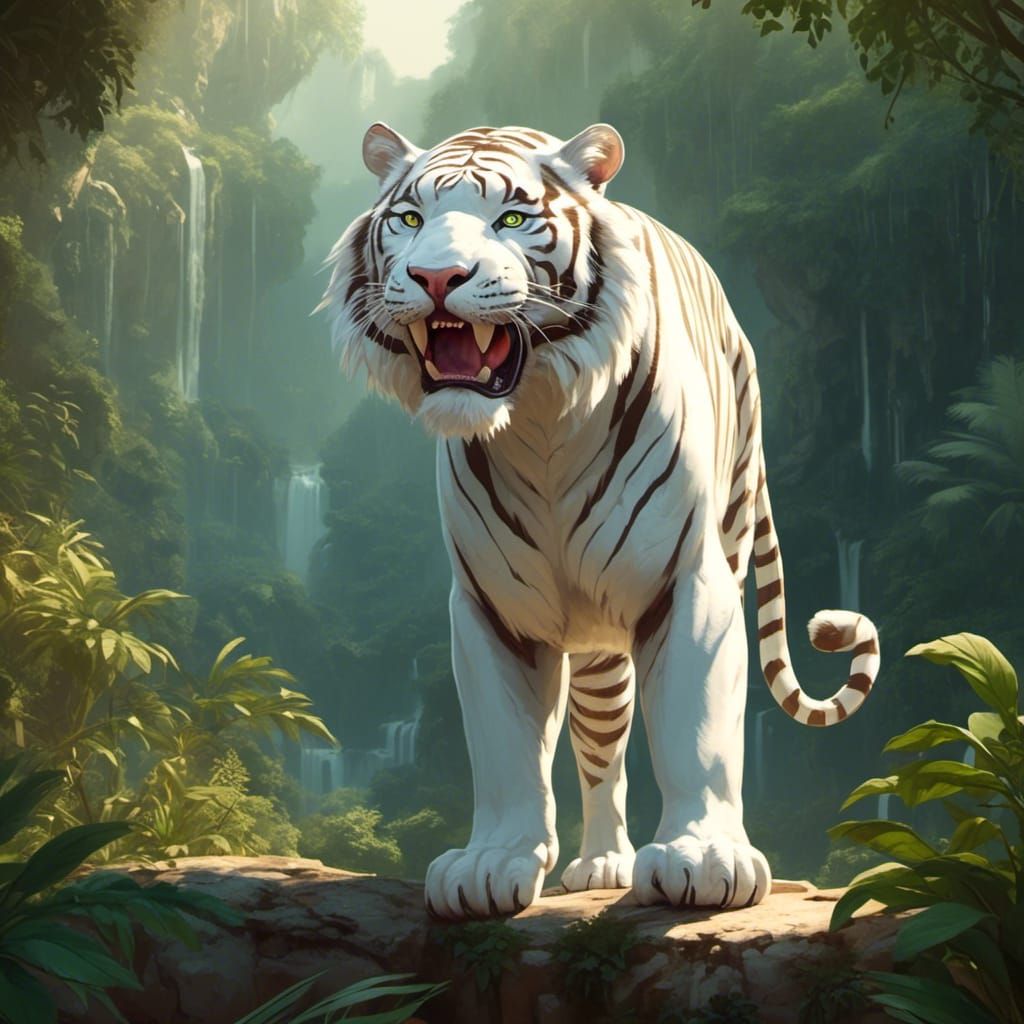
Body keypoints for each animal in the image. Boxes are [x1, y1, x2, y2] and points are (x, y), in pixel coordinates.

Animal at [319, 121, 881, 920]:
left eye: (512, 219)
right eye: (409, 219)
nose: (435, 277)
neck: (540, 418)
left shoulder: (687, 581)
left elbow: (695, 727)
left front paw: (705, 859)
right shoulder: (492, 607)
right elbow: (505, 743)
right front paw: (492, 862)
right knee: (600, 747)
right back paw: (601, 863)